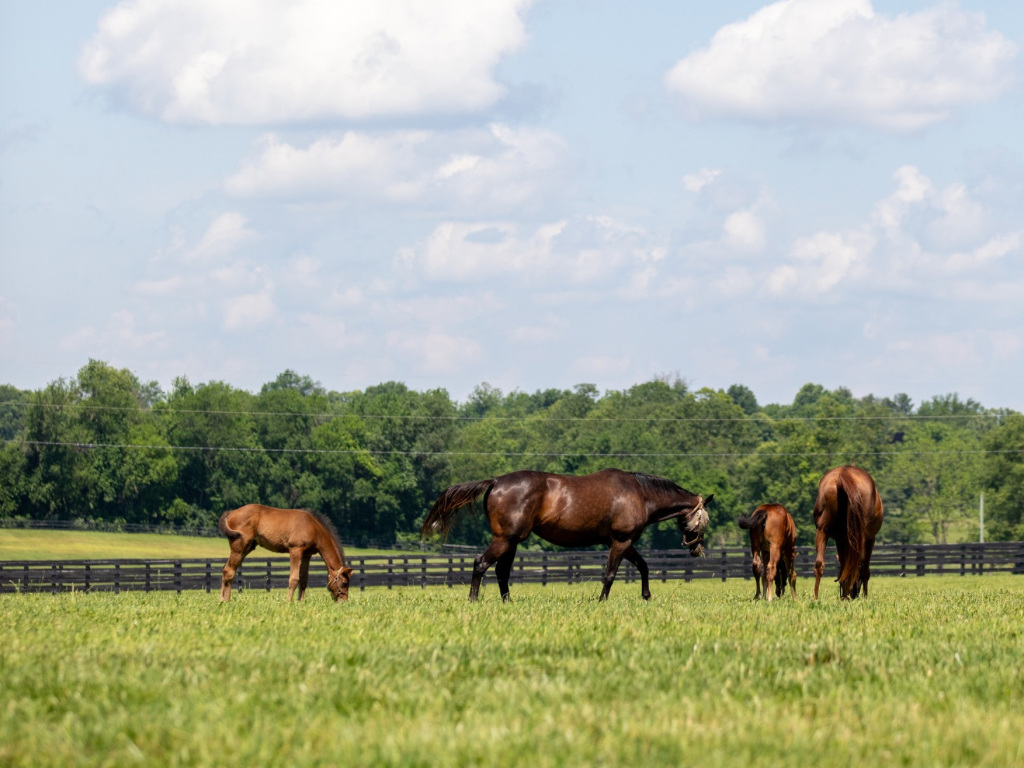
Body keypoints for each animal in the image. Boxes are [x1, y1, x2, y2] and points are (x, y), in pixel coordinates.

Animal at [216, 507, 352, 606]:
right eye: (344, 583)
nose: (344, 602)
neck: (314, 527)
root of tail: (231, 512)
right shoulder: (295, 550)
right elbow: (294, 579)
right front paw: (288, 602)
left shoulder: (306, 555)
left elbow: (303, 580)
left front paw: (300, 602)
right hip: (239, 546)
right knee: (228, 571)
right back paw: (224, 601)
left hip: (247, 548)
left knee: (226, 569)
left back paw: (224, 599)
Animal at [415, 466, 712, 606]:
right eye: (704, 521)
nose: (697, 549)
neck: (639, 493)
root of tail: (496, 481)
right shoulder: (621, 541)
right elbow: (610, 574)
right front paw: (602, 602)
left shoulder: (623, 543)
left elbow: (644, 566)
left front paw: (646, 596)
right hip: (505, 540)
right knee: (481, 564)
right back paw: (473, 600)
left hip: (511, 542)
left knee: (501, 572)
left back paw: (507, 602)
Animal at [811, 466, 884, 606]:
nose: (855, 594)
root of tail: (844, 474)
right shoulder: (870, 539)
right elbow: (864, 570)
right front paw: (865, 598)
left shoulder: (841, 540)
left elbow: (844, 567)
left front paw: (845, 596)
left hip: (822, 530)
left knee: (819, 564)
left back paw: (816, 598)